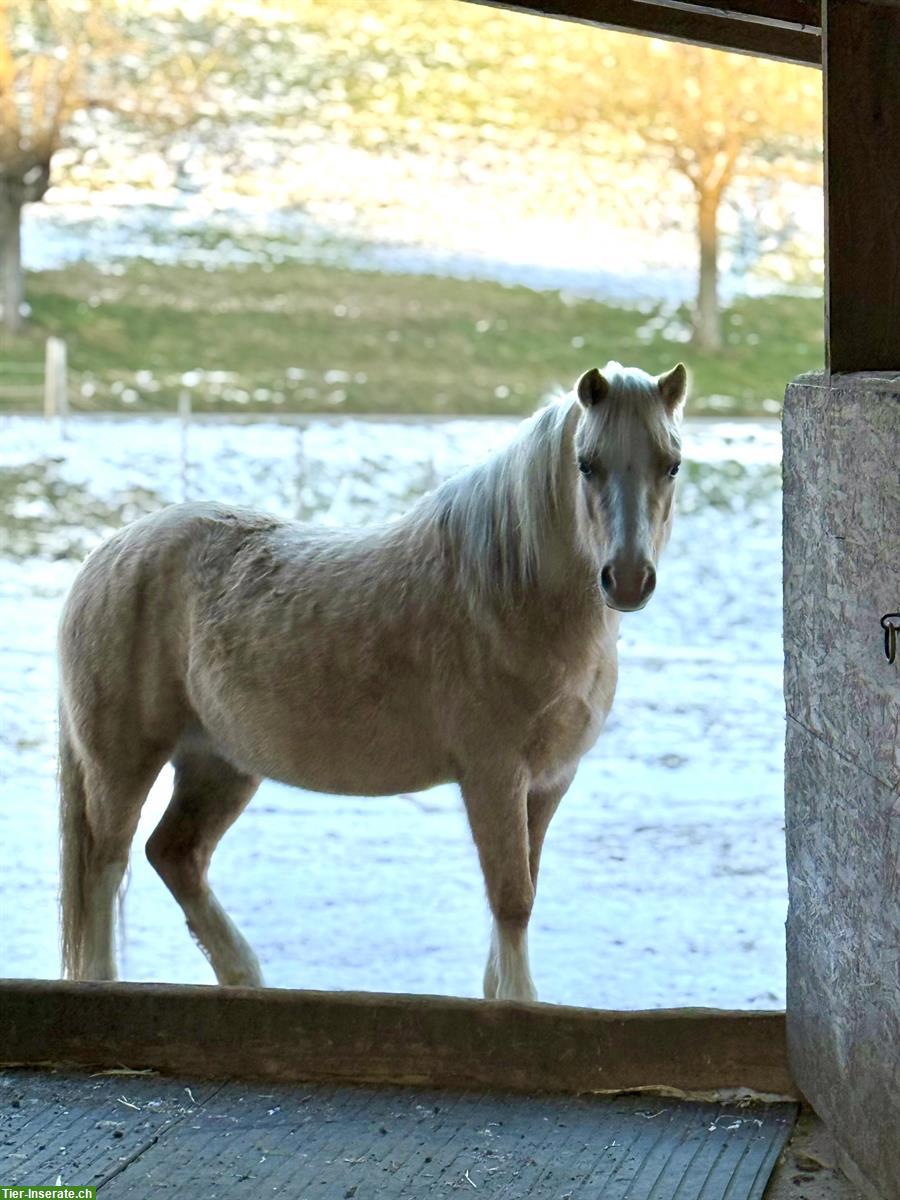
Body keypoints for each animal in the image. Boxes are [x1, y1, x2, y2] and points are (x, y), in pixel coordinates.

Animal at [58, 360, 687, 1002]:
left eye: (671, 464)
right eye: (586, 463)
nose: (627, 579)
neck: (509, 592)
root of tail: (104, 555)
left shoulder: (549, 781)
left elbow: (520, 894)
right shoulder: (493, 776)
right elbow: (511, 897)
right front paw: (516, 1002)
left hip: (220, 763)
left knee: (174, 854)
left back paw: (245, 977)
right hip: (123, 762)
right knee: (105, 863)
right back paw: (104, 981)